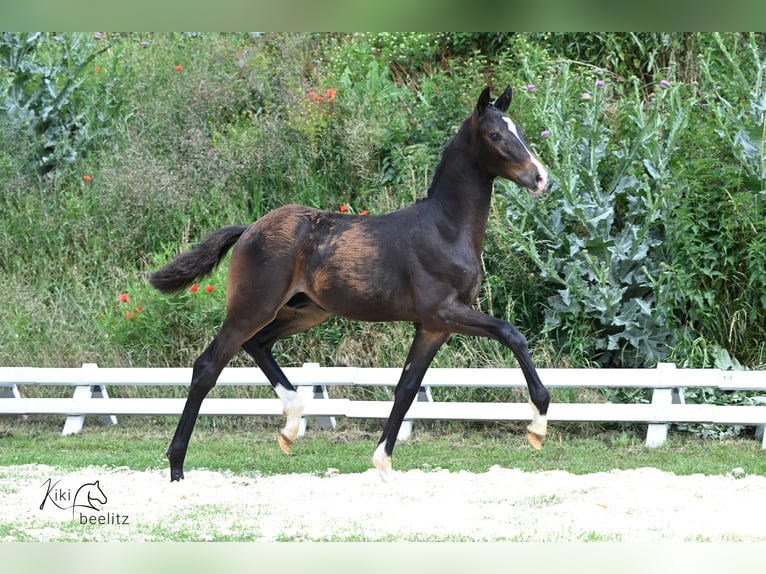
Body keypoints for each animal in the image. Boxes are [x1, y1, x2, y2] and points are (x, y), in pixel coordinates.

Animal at [150, 84, 552, 482]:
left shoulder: (433, 327)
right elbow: (511, 333)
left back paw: (291, 424)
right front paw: (538, 425)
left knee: (258, 345)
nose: (539, 178)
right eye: (495, 134)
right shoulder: (445, 311)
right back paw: (177, 466)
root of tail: (250, 228)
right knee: (207, 367)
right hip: (252, 308)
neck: (446, 230)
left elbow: (406, 388)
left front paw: (383, 463)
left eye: (519, 130)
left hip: (306, 312)